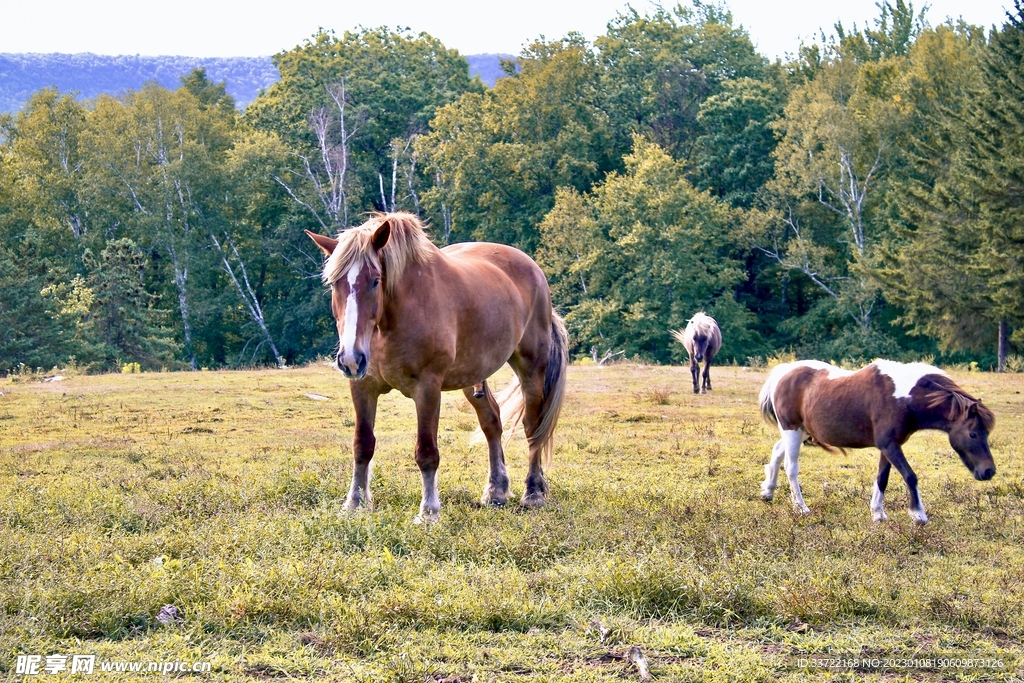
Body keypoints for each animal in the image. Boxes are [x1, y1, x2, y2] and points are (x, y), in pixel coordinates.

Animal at [306, 213, 568, 523]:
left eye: (375, 281)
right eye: (335, 283)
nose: (350, 358)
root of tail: (533, 269)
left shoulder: (427, 388)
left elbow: (427, 451)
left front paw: (429, 511)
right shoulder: (363, 386)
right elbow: (362, 445)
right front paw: (355, 503)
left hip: (531, 367)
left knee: (532, 426)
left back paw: (533, 492)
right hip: (473, 375)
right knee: (492, 422)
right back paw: (496, 491)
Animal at [758, 359, 996, 524]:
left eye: (986, 432)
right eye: (973, 434)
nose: (989, 471)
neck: (903, 397)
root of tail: (784, 372)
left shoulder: (889, 446)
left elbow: (882, 478)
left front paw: (878, 514)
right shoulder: (889, 445)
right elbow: (910, 476)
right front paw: (918, 514)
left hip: (802, 432)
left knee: (777, 451)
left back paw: (768, 492)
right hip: (793, 430)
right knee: (791, 467)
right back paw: (801, 507)